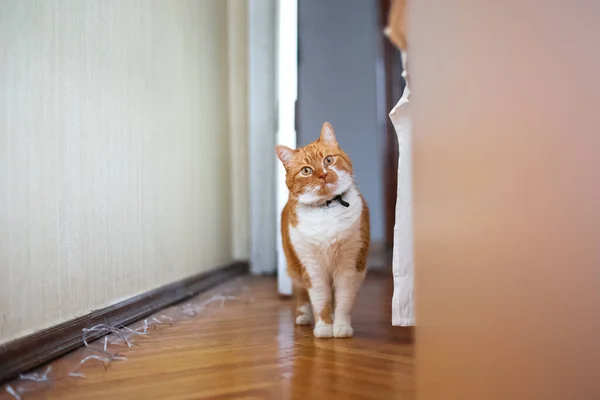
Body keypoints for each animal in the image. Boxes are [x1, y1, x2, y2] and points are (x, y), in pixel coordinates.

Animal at [278, 121, 370, 338]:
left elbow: (343, 301)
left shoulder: (349, 266)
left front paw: (341, 326)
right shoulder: (312, 267)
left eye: (328, 160)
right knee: (301, 292)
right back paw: (303, 316)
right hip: (295, 266)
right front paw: (323, 328)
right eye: (306, 171)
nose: (323, 174)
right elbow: (321, 301)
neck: (327, 208)